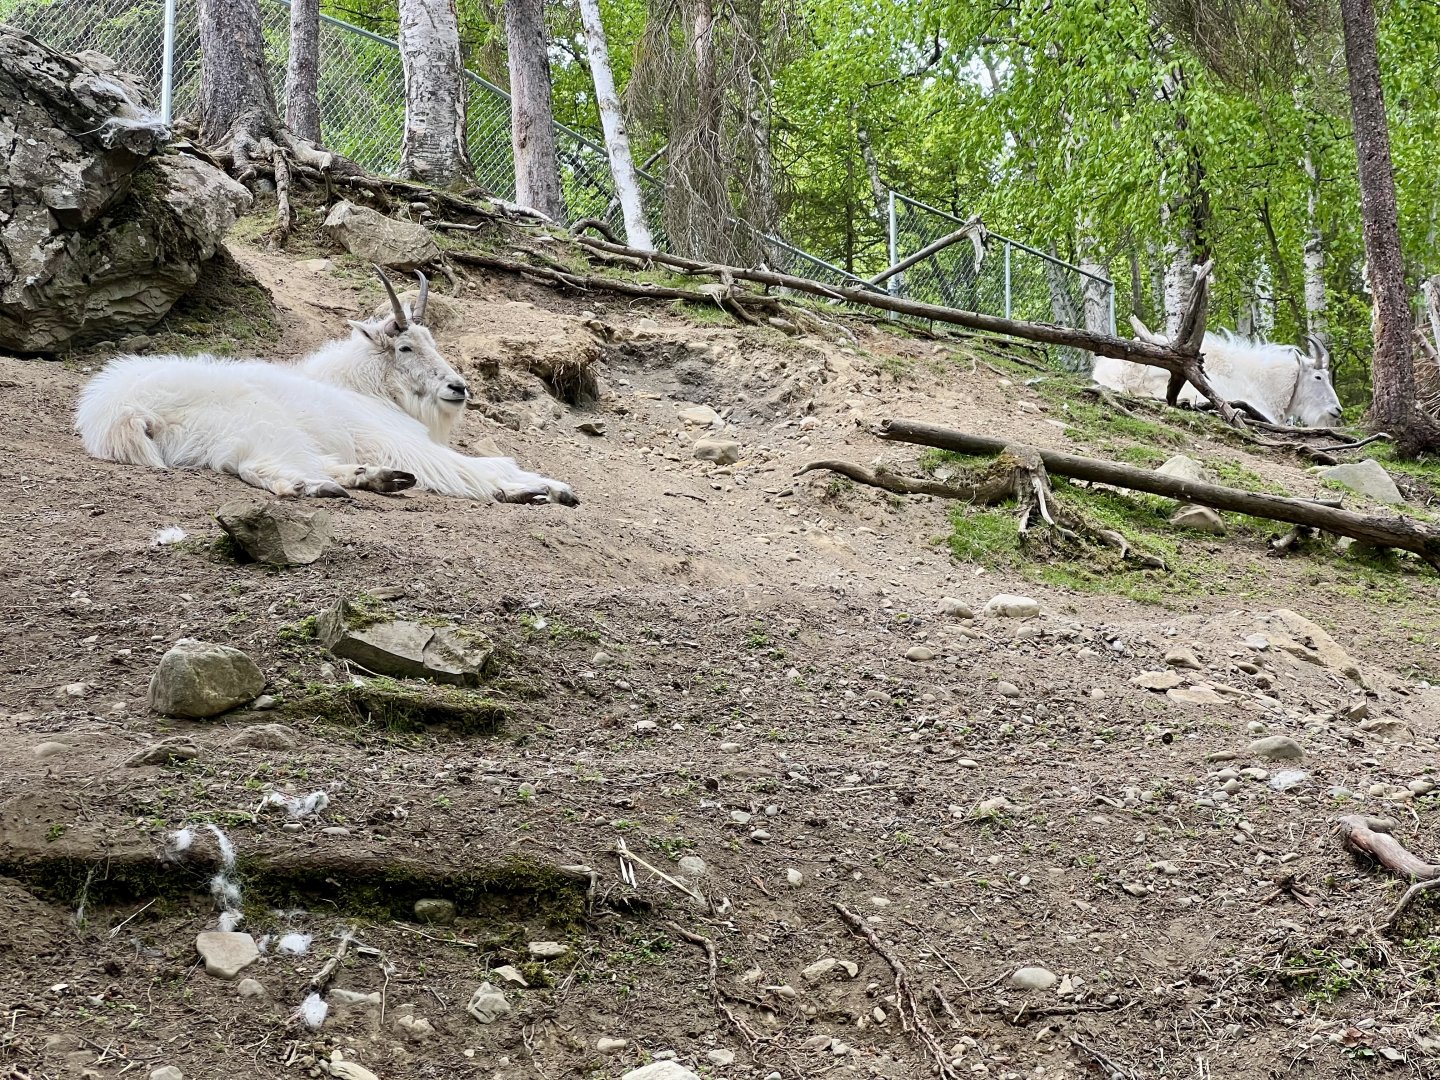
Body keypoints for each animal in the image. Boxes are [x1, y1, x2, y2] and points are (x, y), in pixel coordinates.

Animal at [75, 268, 577, 505]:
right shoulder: (401, 441)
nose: (458, 388)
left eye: (432, 340)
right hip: (259, 424)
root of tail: (118, 409)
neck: (364, 388)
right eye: (405, 347)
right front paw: (540, 487)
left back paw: (376, 477)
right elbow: (484, 466)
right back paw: (317, 487)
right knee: (261, 467)